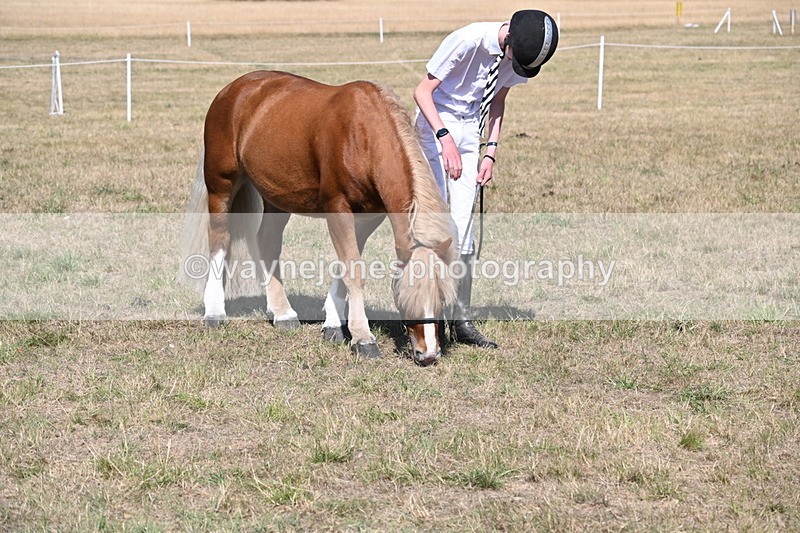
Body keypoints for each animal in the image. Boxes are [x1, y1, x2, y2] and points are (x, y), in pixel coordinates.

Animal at [179, 70, 458, 365]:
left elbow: (345, 265)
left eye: (442, 298)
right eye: (406, 295)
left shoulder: (368, 217)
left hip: (276, 197)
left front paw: (333, 324)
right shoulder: (337, 208)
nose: (429, 354)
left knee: (267, 242)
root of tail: (233, 89)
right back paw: (215, 312)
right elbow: (353, 270)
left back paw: (282, 313)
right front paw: (363, 338)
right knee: (220, 238)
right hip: (221, 184)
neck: (363, 134)